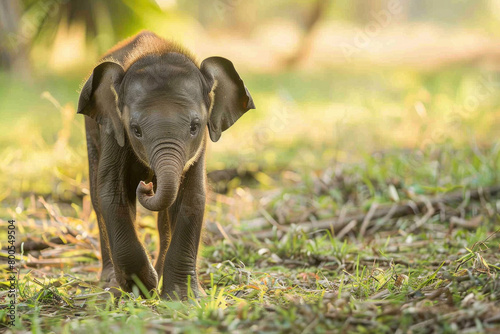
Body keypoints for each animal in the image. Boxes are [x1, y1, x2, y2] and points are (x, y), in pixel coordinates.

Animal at [79, 30, 256, 298]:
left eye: (195, 126)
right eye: (136, 130)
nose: (147, 185)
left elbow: (192, 196)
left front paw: (183, 298)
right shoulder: (112, 132)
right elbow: (111, 193)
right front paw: (144, 287)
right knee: (98, 200)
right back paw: (111, 280)